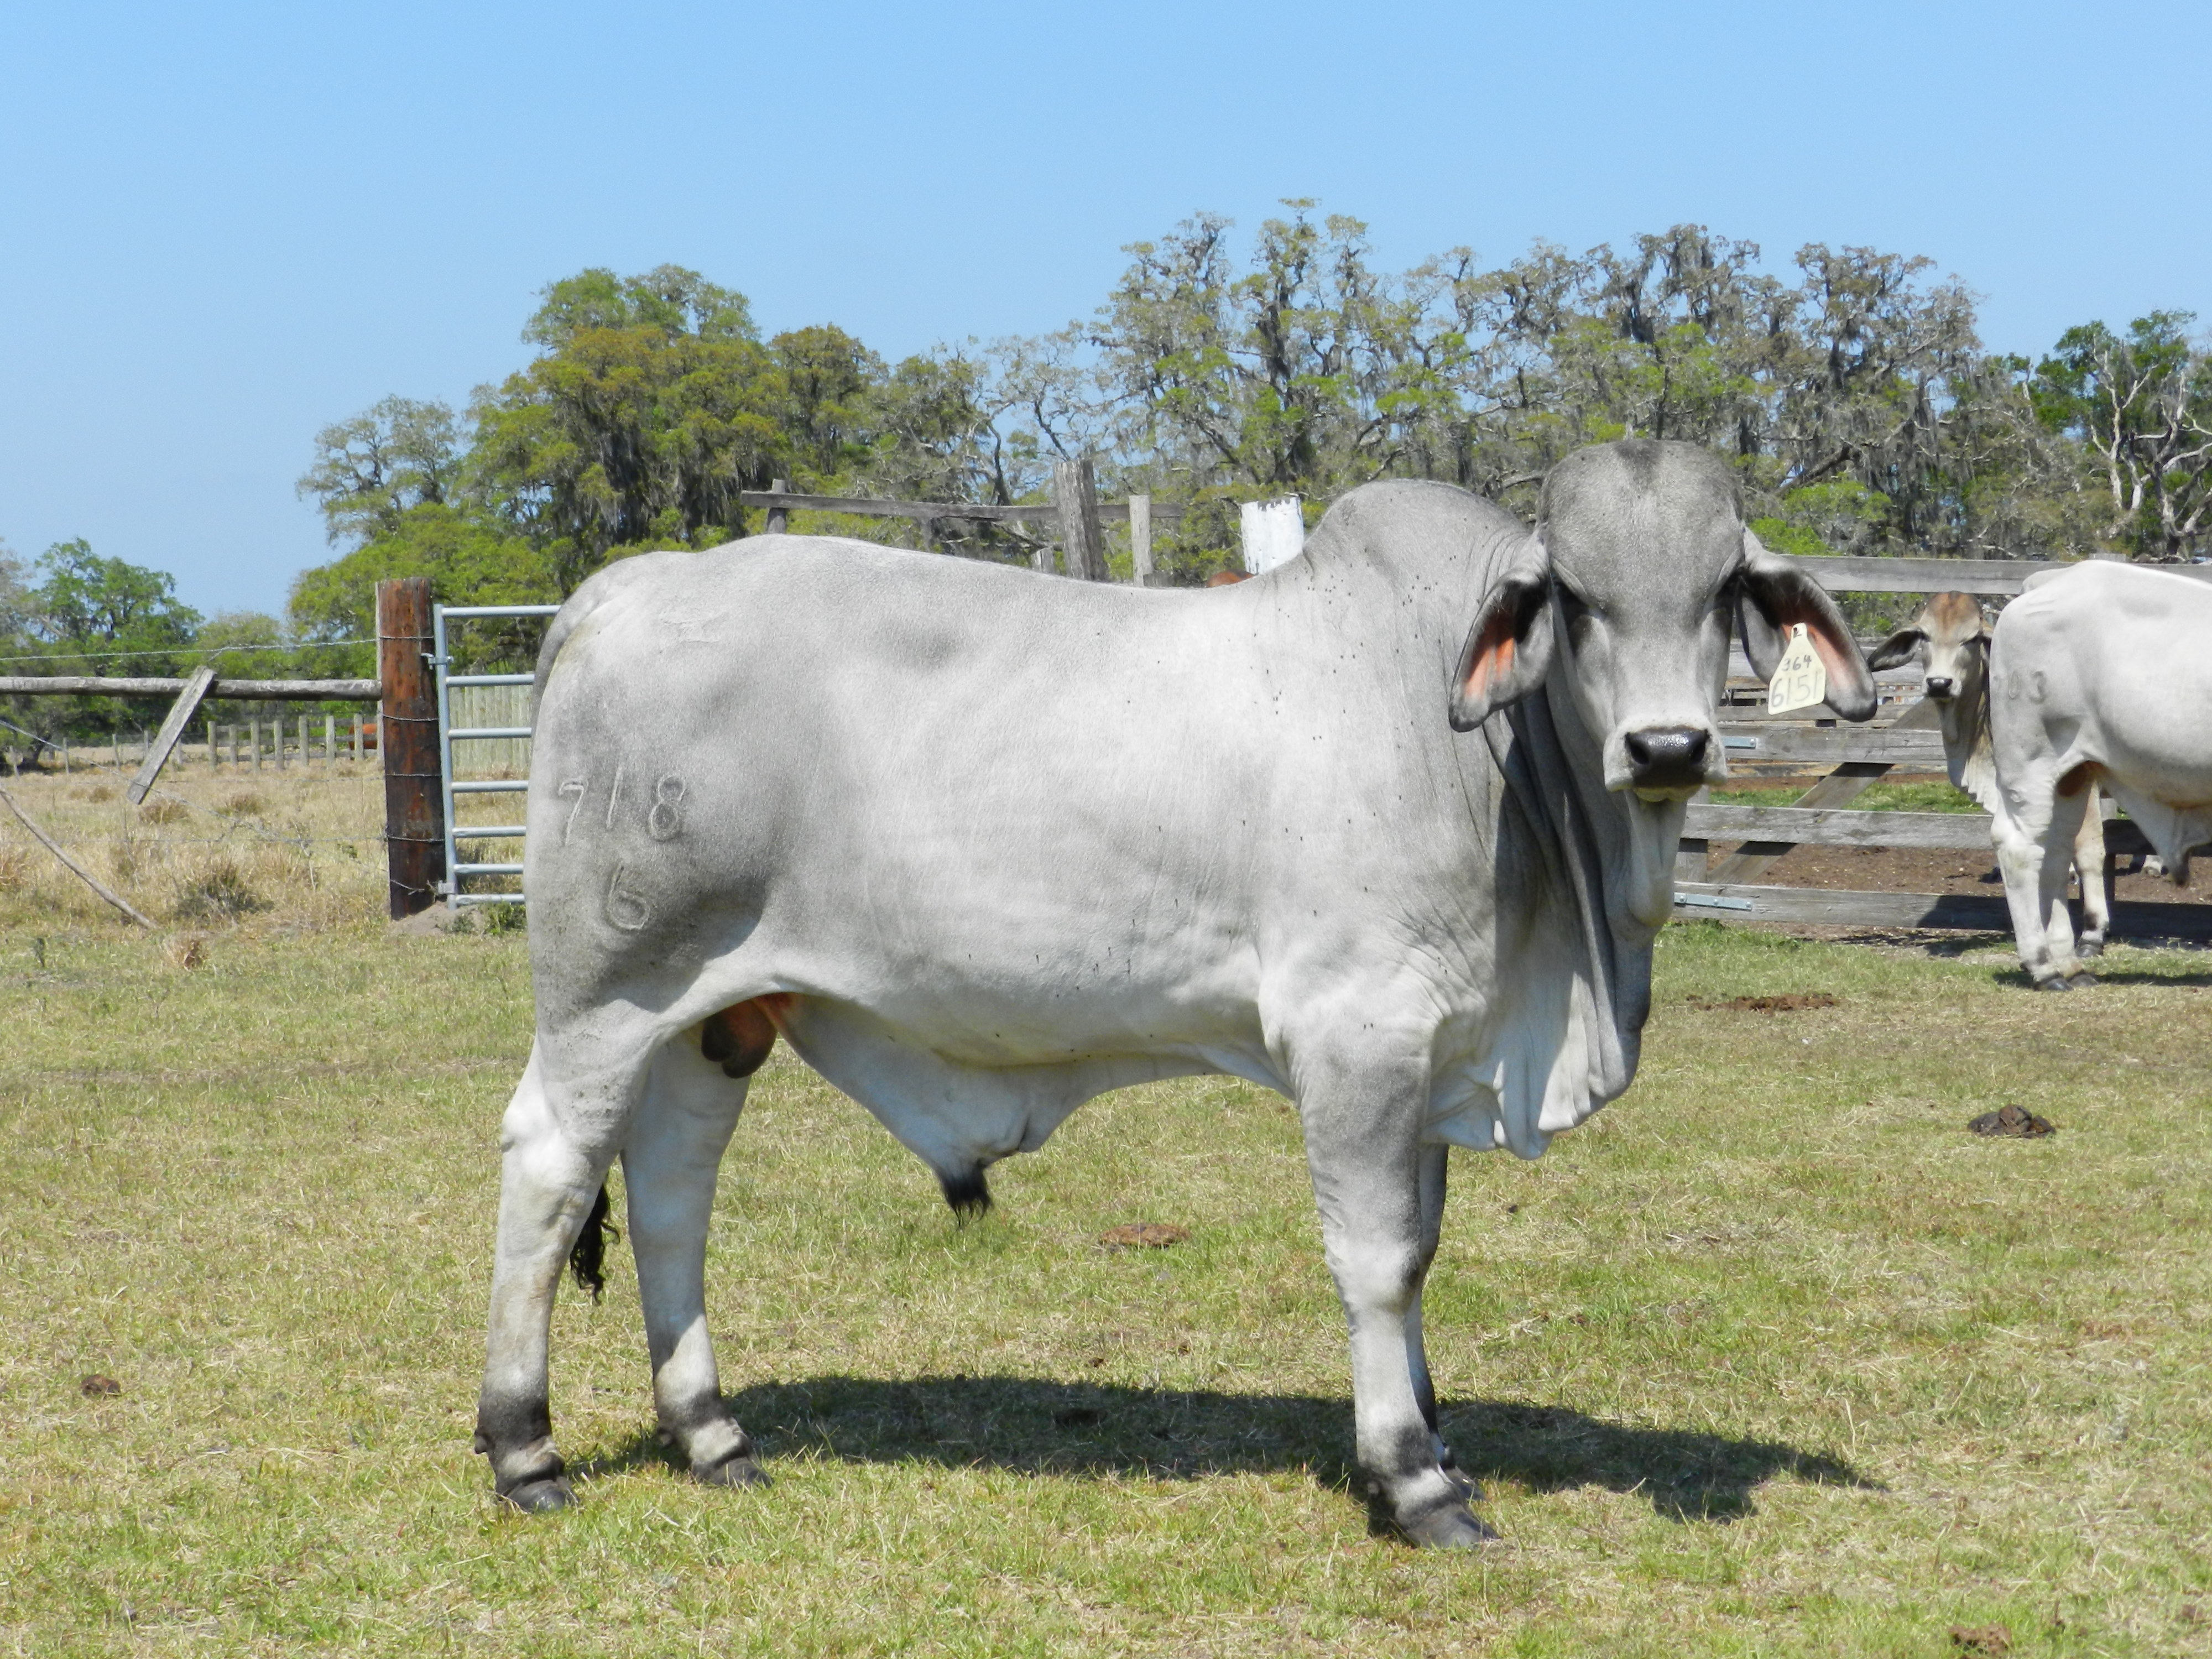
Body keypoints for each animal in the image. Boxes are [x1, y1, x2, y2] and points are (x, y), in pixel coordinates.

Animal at [476, 438, 1876, 1548]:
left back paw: (712, 1434)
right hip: (606, 991)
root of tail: (618, 587)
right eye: (1574, 599)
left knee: (670, 1189)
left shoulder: (1430, 1053)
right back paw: (523, 1446)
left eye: (1720, 590)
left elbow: (1421, 1249)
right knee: (550, 1168)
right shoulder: (1355, 1035)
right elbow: (1375, 1260)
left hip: (711, 1014)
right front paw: (1412, 1479)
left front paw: (1432, 1438)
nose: (1667, 747)